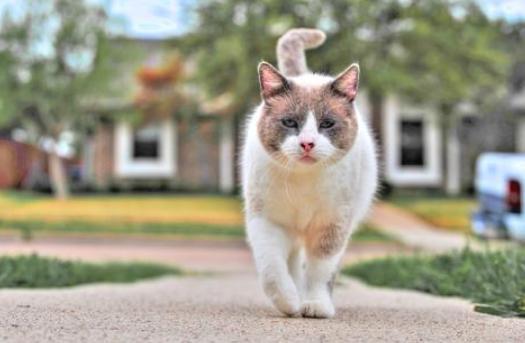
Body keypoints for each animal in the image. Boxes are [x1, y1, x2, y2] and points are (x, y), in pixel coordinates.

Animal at [242, 27, 376, 320]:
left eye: (327, 124)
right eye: (290, 122)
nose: (307, 143)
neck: (304, 182)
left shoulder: (333, 225)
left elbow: (320, 271)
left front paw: (315, 304)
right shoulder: (267, 221)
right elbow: (273, 268)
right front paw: (289, 302)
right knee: (290, 262)